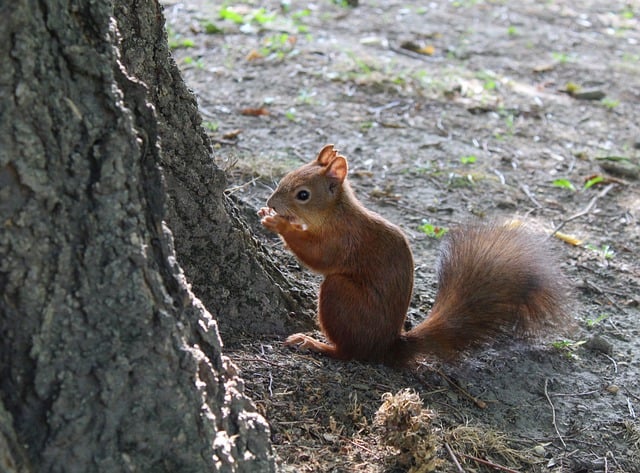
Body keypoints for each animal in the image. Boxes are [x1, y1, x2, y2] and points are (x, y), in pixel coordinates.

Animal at [258, 144, 568, 366]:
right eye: (285, 178)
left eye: (303, 195)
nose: (270, 202)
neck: (336, 213)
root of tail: (386, 346)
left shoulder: (343, 240)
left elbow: (318, 257)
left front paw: (278, 223)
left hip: (340, 295)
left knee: (349, 352)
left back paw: (315, 344)